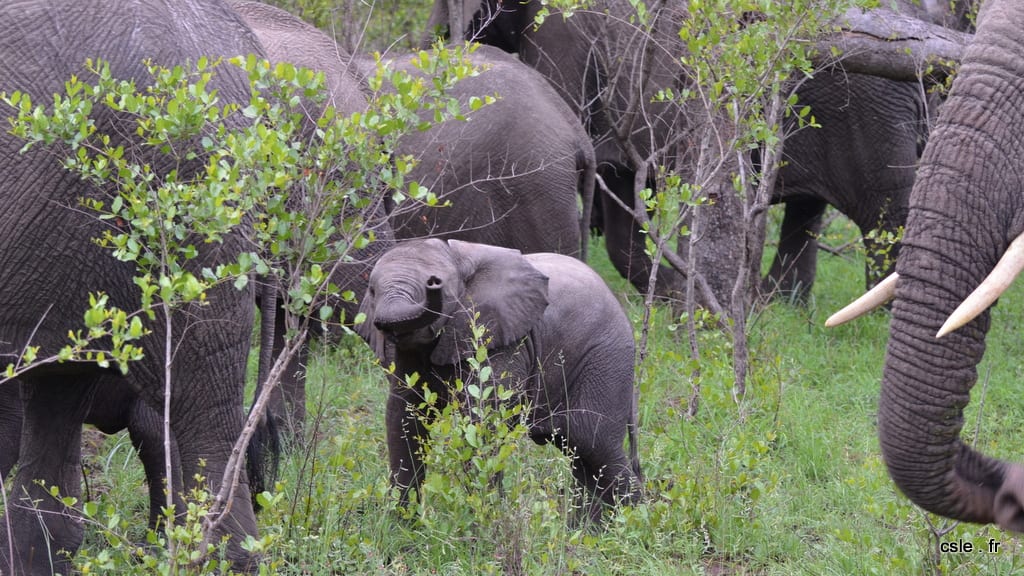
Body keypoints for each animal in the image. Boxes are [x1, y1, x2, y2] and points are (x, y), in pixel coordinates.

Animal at [358, 238, 642, 521]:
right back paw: (588, 527)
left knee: (594, 443)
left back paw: (632, 521)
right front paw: (402, 524)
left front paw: (483, 522)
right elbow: (404, 418)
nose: (433, 284)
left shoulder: (501, 340)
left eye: (438, 284)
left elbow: (480, 420)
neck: (458, 259)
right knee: (579, 452)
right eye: (371, 290)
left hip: (606, 360)